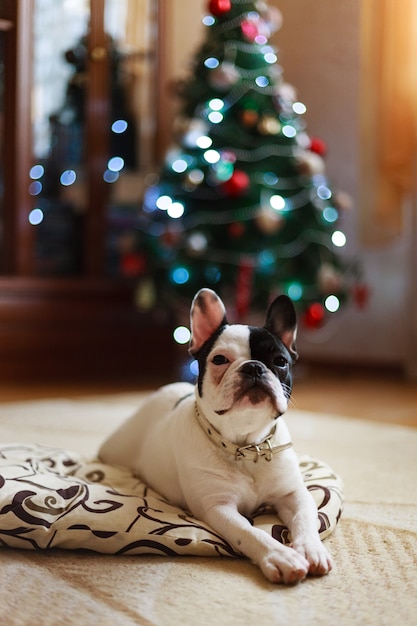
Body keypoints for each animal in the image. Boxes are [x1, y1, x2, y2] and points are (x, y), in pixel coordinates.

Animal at [98, 290, 332, 584]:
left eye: (280, 361)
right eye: (220, 359)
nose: (254, 367)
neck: (248, 446)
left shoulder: (293, 494)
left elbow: (306, 518)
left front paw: (311, 549)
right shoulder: (219, 508)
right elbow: (249, 532)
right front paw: (281, 556)